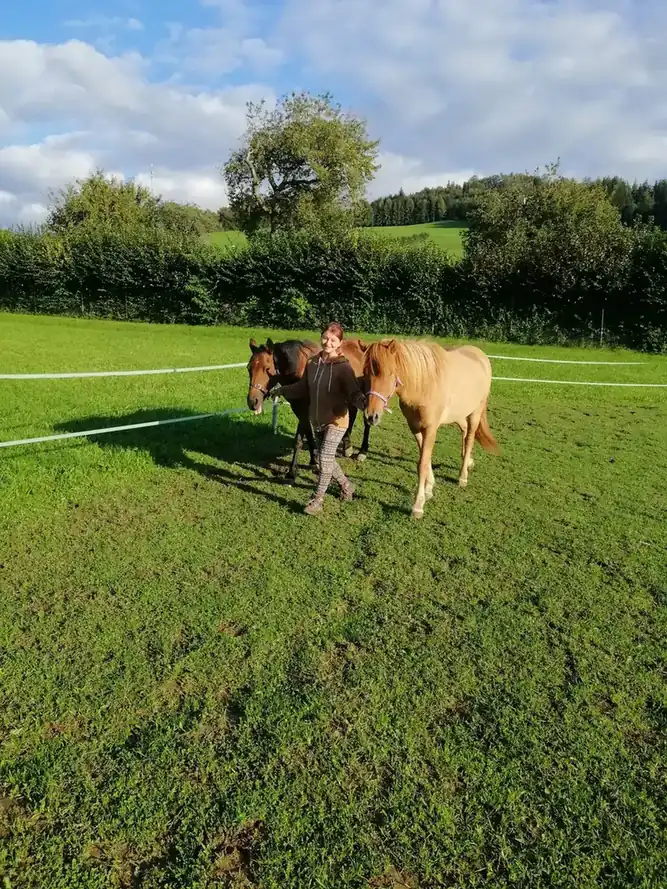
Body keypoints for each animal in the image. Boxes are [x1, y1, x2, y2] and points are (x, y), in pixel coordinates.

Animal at [363, 338, 499, 518]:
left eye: (390, 373)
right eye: (366, 373)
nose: (371, 416)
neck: (424, 385)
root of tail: (481, 355)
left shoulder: (430, 429)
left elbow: (422, 463)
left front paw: (418, 506)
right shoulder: (415, 428)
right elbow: (425, 459)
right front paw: (429, 488)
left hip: (475, 413)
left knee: (470, 438)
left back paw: (463, 476)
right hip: (459, 414)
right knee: (464, 432)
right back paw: (468, 461)